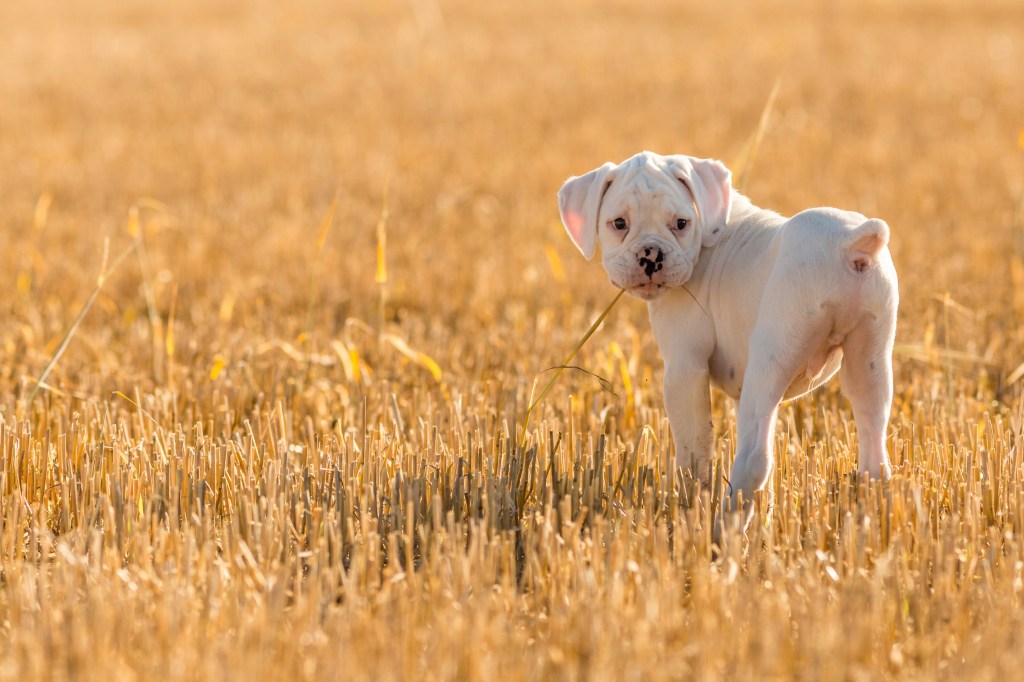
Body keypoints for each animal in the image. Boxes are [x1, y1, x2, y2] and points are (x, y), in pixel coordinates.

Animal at [561, 151, 897, 528]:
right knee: (874, 455)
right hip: (870, 364)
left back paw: (723, 530)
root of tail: (852, 241)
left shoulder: (684, 369)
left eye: (680, 223)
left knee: (754, 460)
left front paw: (689, 511)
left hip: (771, 360)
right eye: (619, 223)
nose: (651, 255)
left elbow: (695, 454)